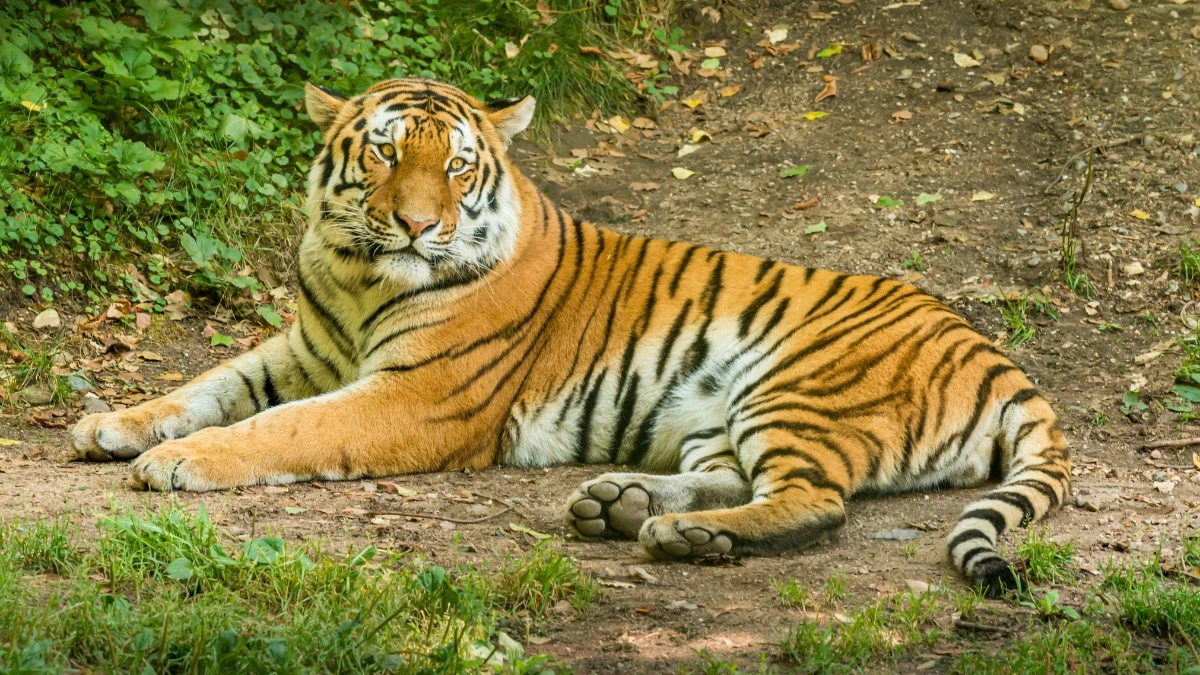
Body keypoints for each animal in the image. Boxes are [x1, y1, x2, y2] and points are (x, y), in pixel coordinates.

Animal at [70, 77, 1070, 596]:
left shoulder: (413, 396)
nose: (419, 226)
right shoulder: (306, 350)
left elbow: (283, 427)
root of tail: (996, 355)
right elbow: (211, 385)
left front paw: (178, 461)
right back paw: (624, 506)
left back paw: (677, 537)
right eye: (386, 153)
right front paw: (111, 423)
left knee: (817, 502)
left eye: (456, 165)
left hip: (795, 383)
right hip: (718, 410)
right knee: (735, 477)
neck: (360, 276)